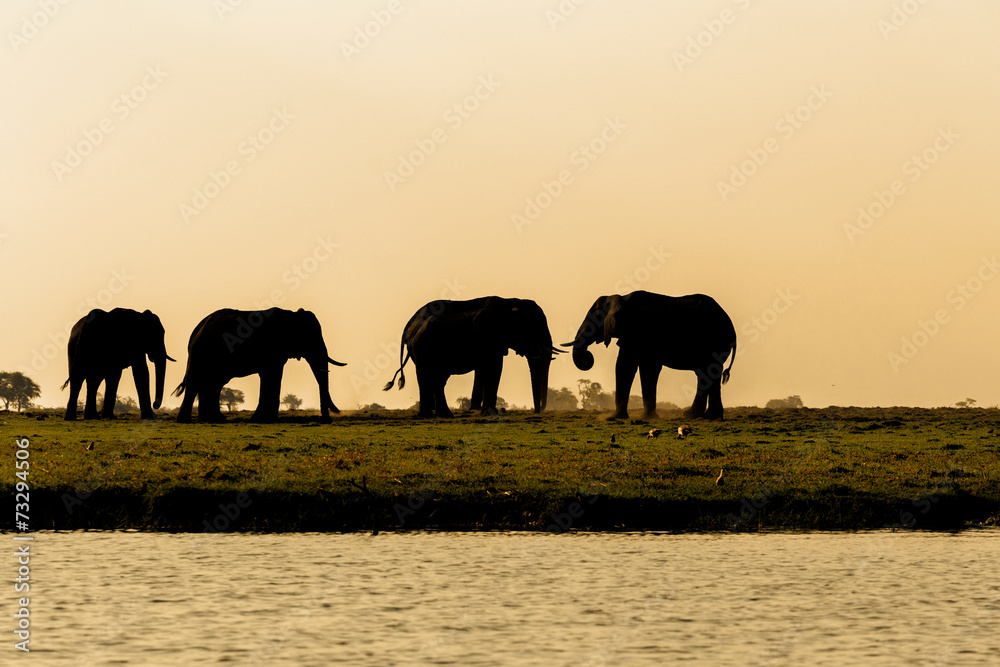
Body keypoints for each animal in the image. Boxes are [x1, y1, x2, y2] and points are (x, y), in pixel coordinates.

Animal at [173, 308, 345, 423]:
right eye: (310, 337)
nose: (329, 419)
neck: (291, 315)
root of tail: (197, 328)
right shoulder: (270, 347)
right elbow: (270, 376)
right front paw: (263, 419)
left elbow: (272, 377)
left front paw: (264, 419)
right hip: (200, 352)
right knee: (196, 381)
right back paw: (187, 420)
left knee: (213, 383)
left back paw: (214, 420)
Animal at [384, 296, 562, 417]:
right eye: (533, 331)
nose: (537, 411)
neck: (510, 301)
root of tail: (409, 328)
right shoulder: (487, 339)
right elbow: (494, 368)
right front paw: (489, 413)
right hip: (424, 350)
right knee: (429, 377)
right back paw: (432, 415)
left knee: (437, 379)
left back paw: (440, 414)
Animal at [564, 291, 737, 420]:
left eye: (593, 320)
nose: (588, 356)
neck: (620, 297)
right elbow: (646, 368)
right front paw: (647, 417)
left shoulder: (637, 333)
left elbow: (626, 367)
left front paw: (615, 418)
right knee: (709, 373)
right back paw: (709, 417)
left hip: (713, 341)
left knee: (706, 373)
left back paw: (691, 415)